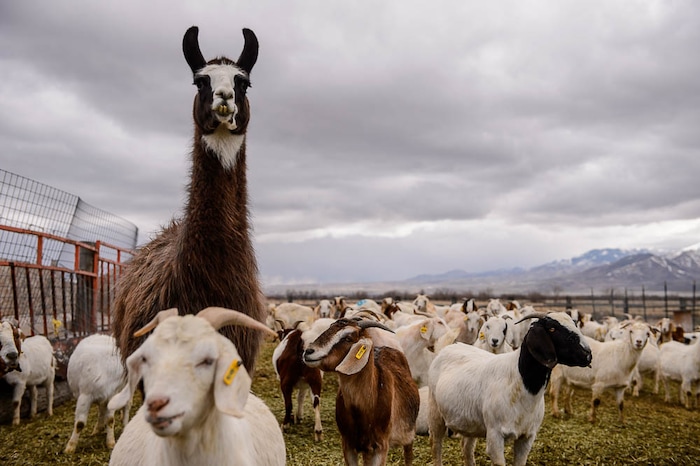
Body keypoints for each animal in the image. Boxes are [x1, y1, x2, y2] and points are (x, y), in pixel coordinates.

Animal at [303, 318, 419, 466]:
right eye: (329, 329)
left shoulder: (381, 446)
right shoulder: (348, 444)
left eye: (347, 338)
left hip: (409, 435)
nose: (309, 351)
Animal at [428, 312, 592, 466]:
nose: (587, 354)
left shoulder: (527, 437)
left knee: (466, 448)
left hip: (470, 423)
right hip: (435, 412)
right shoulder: (495, 435)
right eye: (552, 328)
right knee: (436, 445)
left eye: (575, 323)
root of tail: (448, 348)